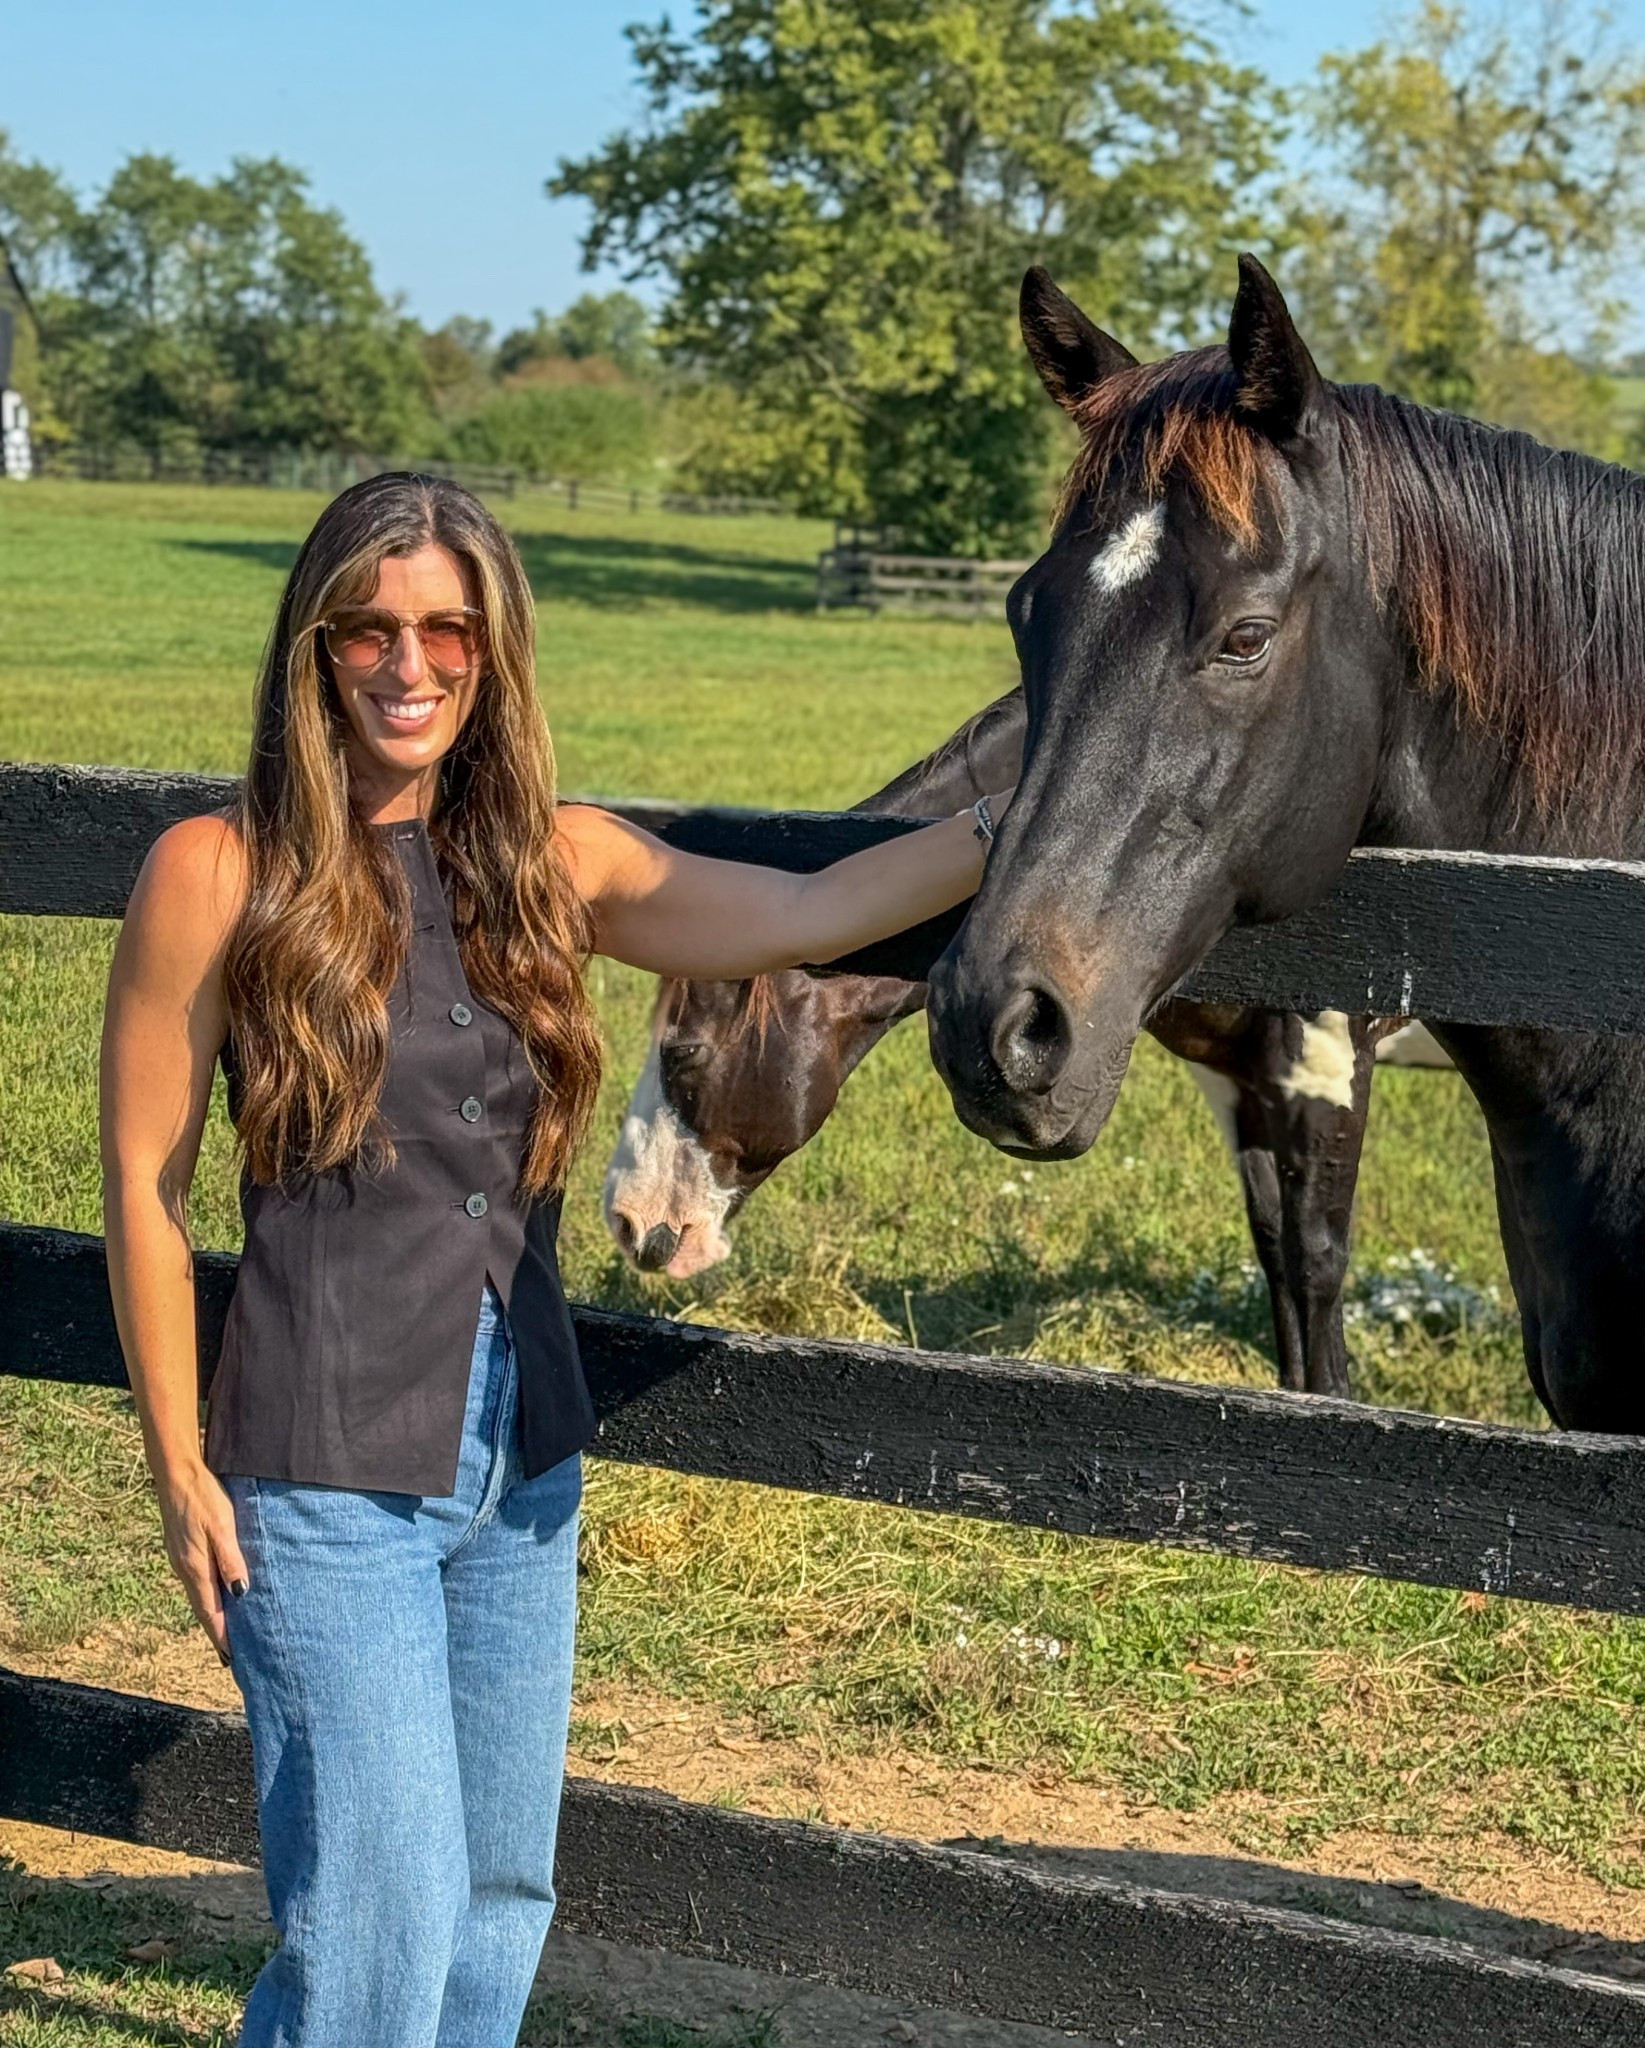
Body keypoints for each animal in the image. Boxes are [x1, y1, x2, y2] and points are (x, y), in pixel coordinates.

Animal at [605, 690, 1445, 1396]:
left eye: (682, 1053)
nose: (628, 1220)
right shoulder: (1233, 1079)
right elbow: (1273, 1247)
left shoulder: (1324, 1074)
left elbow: (1315, 1262)